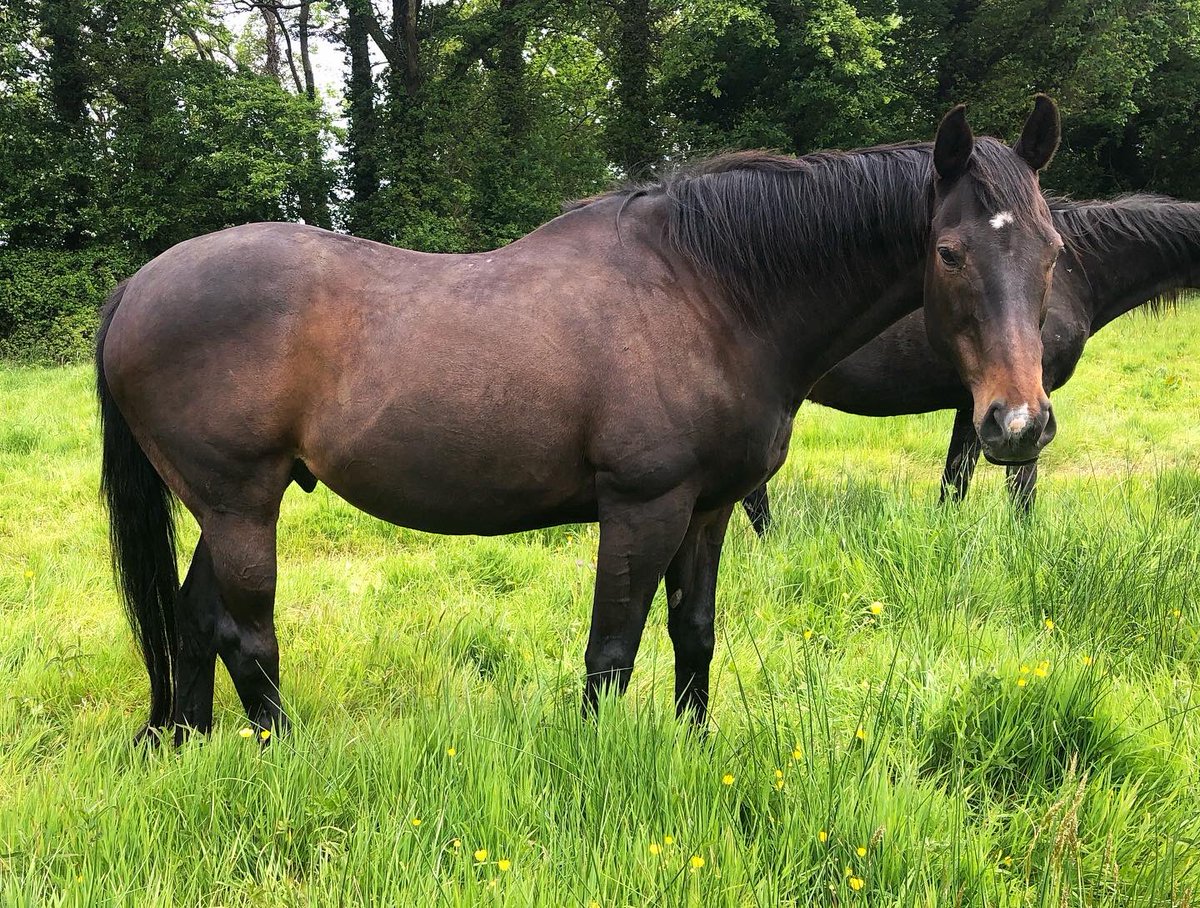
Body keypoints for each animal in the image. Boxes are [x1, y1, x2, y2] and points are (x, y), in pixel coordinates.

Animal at [100, 98, 1060, 738]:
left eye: (1051, 249)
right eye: (950, 252)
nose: (1017, 425)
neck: (709, 294)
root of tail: (137, 288)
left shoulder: (708, 509)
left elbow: (693, 636)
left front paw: (692, 749)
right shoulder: (643, 507)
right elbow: (613, 651)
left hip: (226, 507)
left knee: (192, 620)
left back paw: (188, 741)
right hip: (240, 505)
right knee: (246, 635)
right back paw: (282, 752)